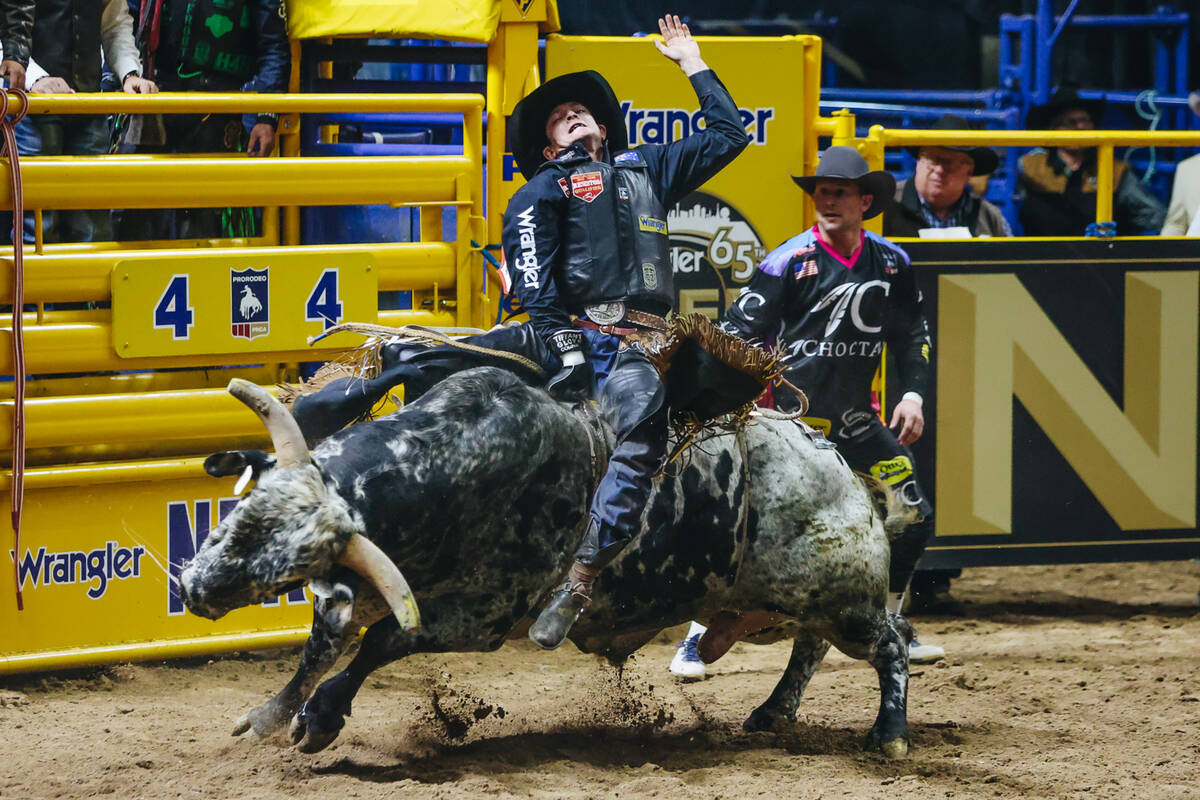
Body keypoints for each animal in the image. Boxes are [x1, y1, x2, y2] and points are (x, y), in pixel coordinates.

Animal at [175, 367, 907, 758]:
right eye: (243, 514)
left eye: (285, 569)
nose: (194, 587)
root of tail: (844, 470)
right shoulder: (364, 588)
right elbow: (322, 646)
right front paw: (269, 716)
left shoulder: (481, 617)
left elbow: (380, 644)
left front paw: (321, 719)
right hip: (767, 609)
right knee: (810, 647)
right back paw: (774, 711)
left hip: (842, 598)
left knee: (889, 644)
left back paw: (888, 733)